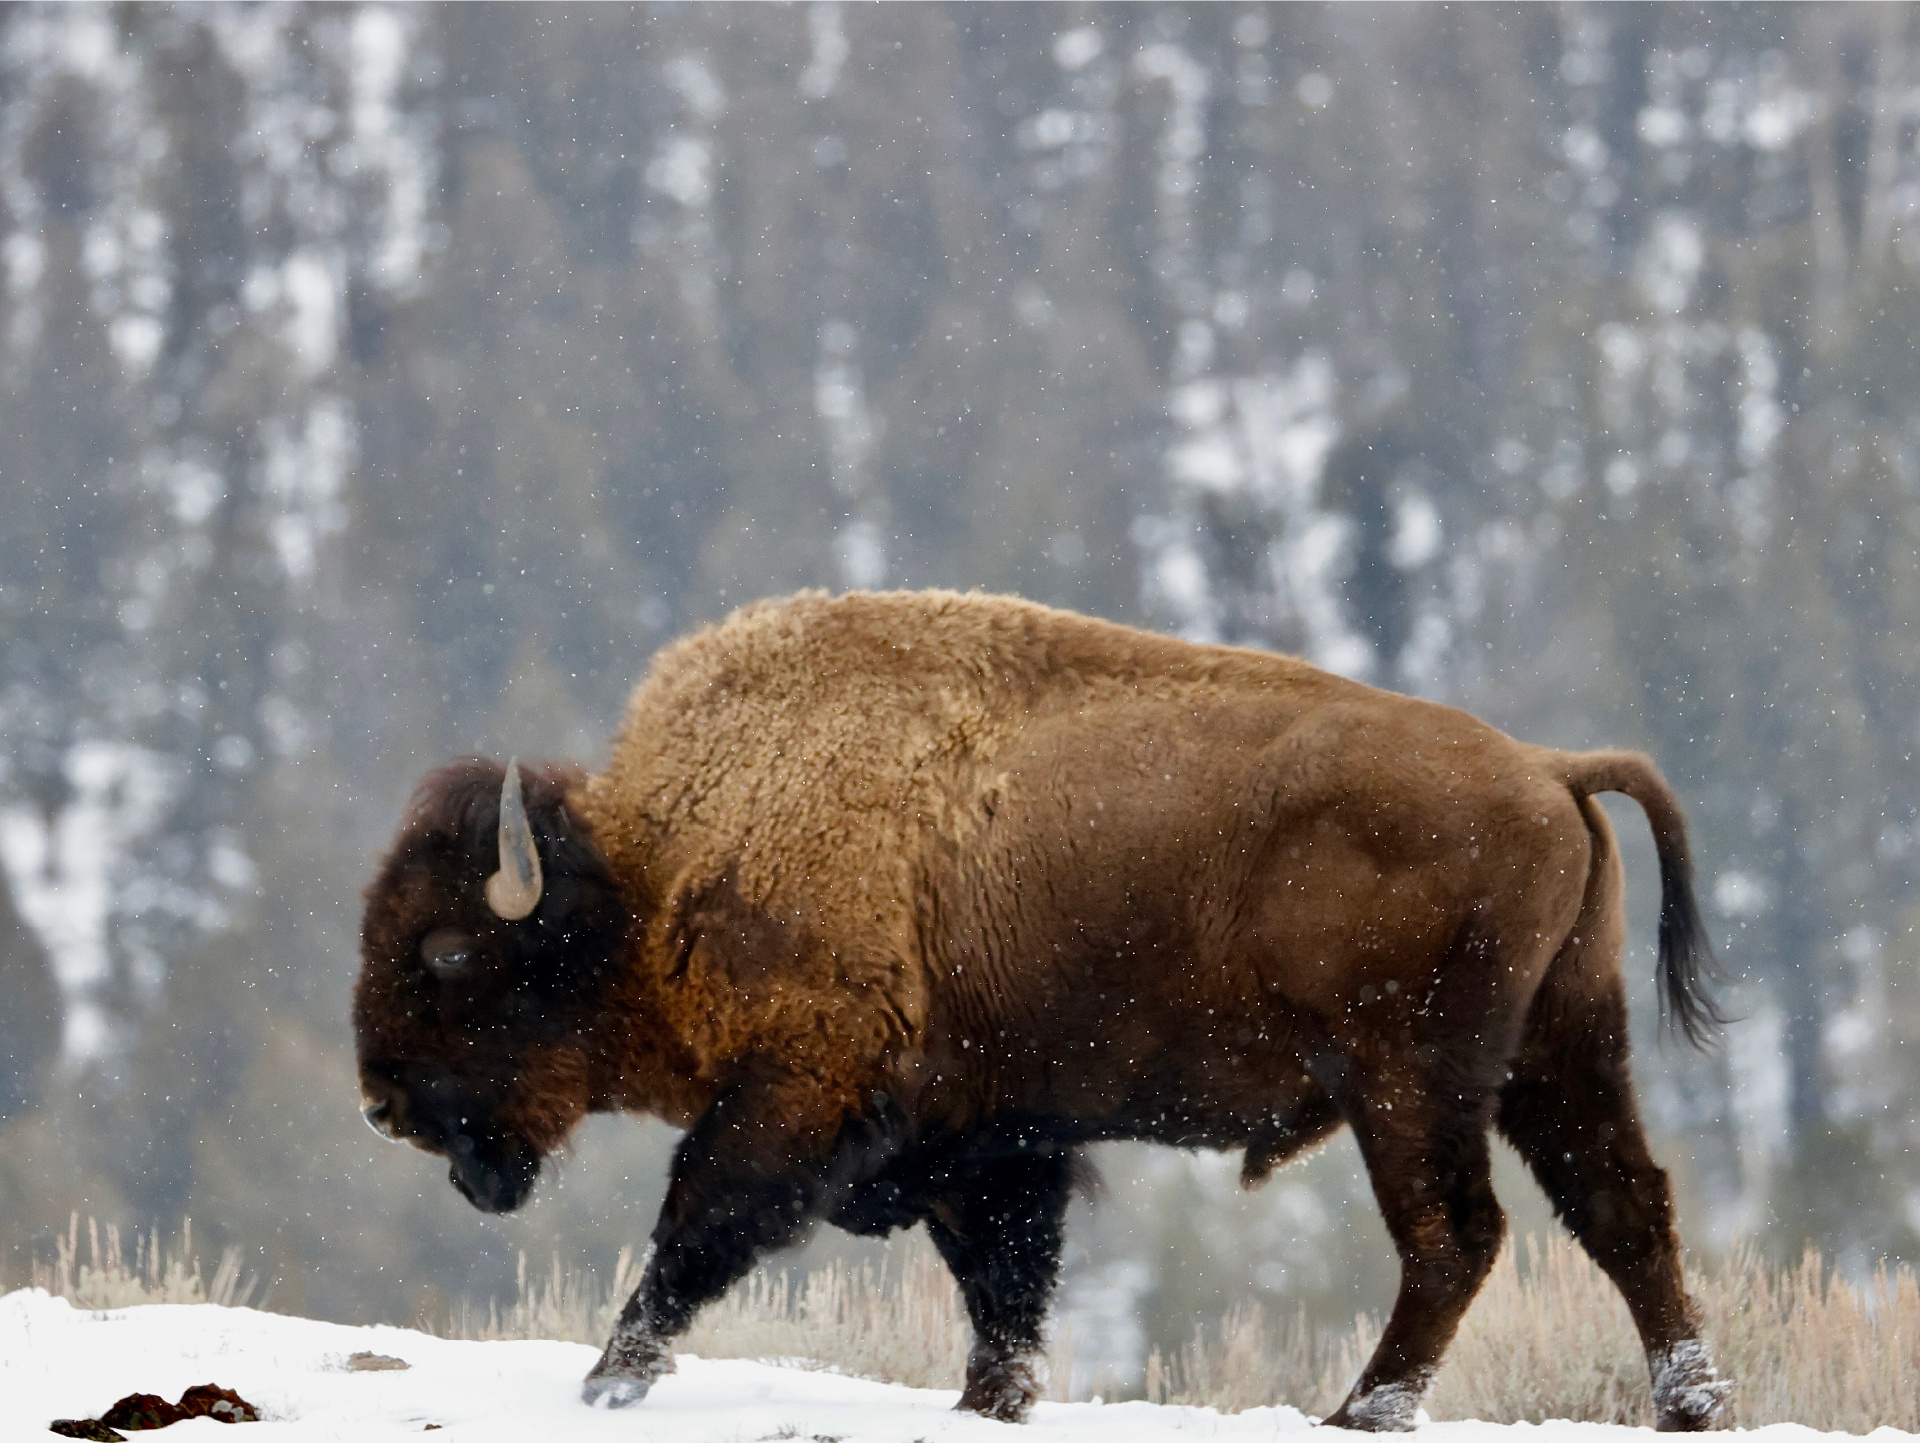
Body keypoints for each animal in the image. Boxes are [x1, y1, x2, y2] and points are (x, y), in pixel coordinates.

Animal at [354, 589, 1730, 1429]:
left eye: (448, 953)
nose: (379, 1105)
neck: (672, 861)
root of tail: (1549, 768)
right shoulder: (990, 1137)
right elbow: (1004, 1283)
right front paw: (990, 1405)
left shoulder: (801, 1094)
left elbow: (697, 1226)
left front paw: (606, 1385)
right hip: (1561, 1053)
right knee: (1623, 1208)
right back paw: (1689, 1406)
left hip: (1408, 1080)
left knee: (1456, 1236)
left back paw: (1360, 1414)